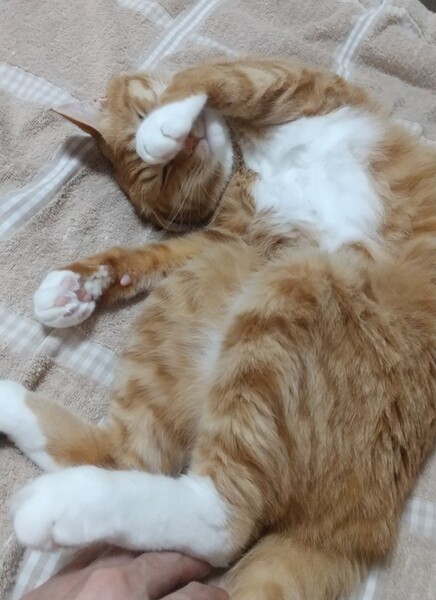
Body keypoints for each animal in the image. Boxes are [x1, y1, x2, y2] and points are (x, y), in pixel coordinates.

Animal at [1, 56, 436, 600]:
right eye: (169, 174)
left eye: (141, 114)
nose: (188, 143)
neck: (248, 154)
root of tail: (356, 527)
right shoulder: (221, 241)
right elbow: (145, 257)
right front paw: (74, 287)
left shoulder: (297, 83)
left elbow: (211, 75)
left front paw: (163, 125)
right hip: (221, 286)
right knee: (148, 471)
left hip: (288, 288)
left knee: (217, 516)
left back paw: (60, 502)